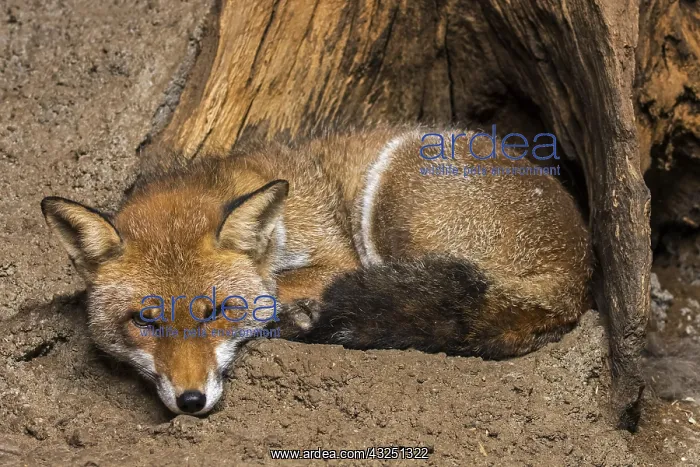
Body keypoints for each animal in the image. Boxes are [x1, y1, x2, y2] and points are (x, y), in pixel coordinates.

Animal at [41, 126, 593, 415]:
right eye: (146, 321)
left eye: (217, 311)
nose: (191, 400)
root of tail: (579, 274)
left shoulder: (338, 258)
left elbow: (274, 285)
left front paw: (283, 313)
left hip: (394, 191)